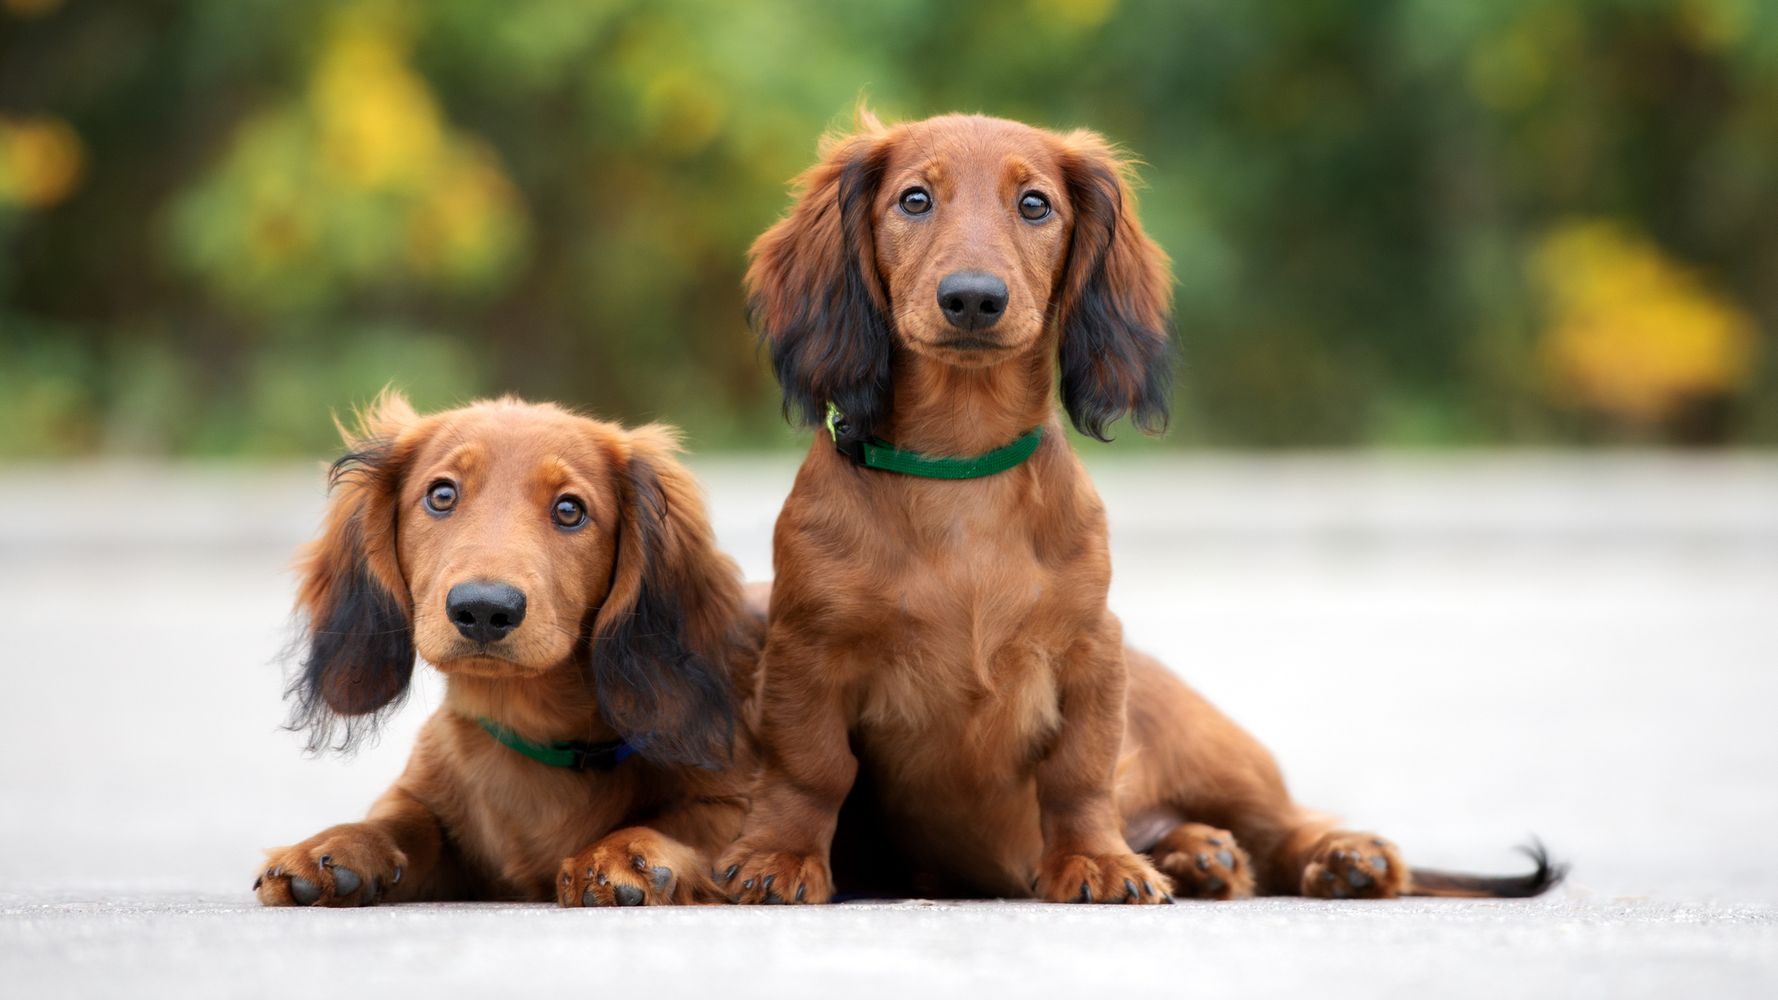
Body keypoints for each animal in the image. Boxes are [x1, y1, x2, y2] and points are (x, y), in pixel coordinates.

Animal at [256, 393, 757, 907]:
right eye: (441, 495)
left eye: (570, 509)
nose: (482, 608)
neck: (528, 728)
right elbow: (403, 820)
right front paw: (339, 844)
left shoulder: (735, 803)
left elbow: (690, 822)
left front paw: (619, 852)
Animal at [714, 110, 1564, 903]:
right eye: (914, 200)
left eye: (1034, 205)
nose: (973, 299)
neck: (961, 466)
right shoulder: (808, 649)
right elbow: (812, 767)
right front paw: (778, 858)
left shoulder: (1092, 648)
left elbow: (1080, 776)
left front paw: (1098, 861)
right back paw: (1200, 855)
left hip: (1213, 750)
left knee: (1284, 823)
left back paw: (1343, 858)